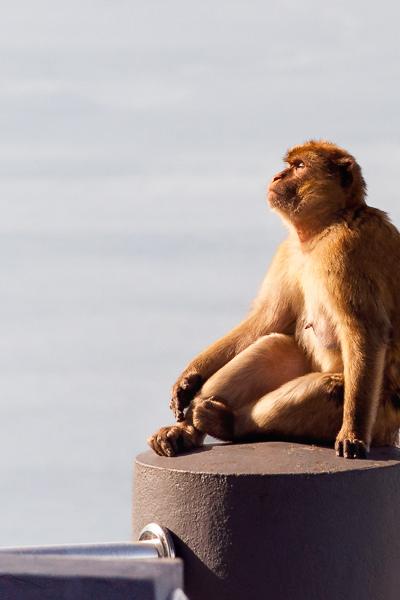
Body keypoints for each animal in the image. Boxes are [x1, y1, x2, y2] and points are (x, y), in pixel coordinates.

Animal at [148, 141, 400, 460]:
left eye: (299, 166)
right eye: (289, 165)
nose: (278, 176)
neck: (324, 229)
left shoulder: (348, 249)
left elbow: (364, 331)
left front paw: (352, 434)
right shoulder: (288, 252)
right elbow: (266, 320)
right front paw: (189, 378)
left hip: (380, 418)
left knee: (329, 388)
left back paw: (228, 423)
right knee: (272, 346)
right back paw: (186, 431)